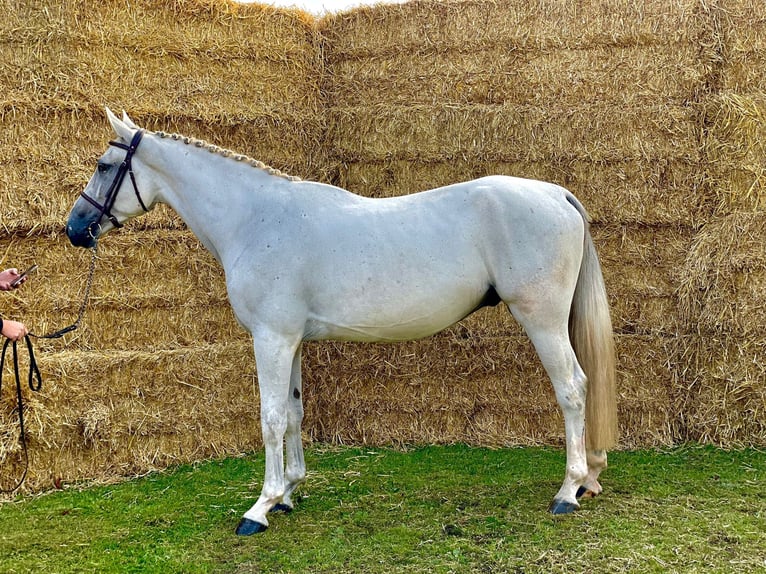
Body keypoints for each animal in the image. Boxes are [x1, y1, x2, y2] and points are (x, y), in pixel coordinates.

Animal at [66, 110, 616, 536]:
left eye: (104, 165)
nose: (74, 229)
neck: (256, 219)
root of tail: (557, 194)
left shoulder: (270, 339)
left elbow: (270, 418)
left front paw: (260, 508)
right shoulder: (290, 341)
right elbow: (293, 413)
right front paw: (288, 494)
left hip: (542, 321)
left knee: (572, 389)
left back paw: (568, 490)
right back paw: (588, 479)